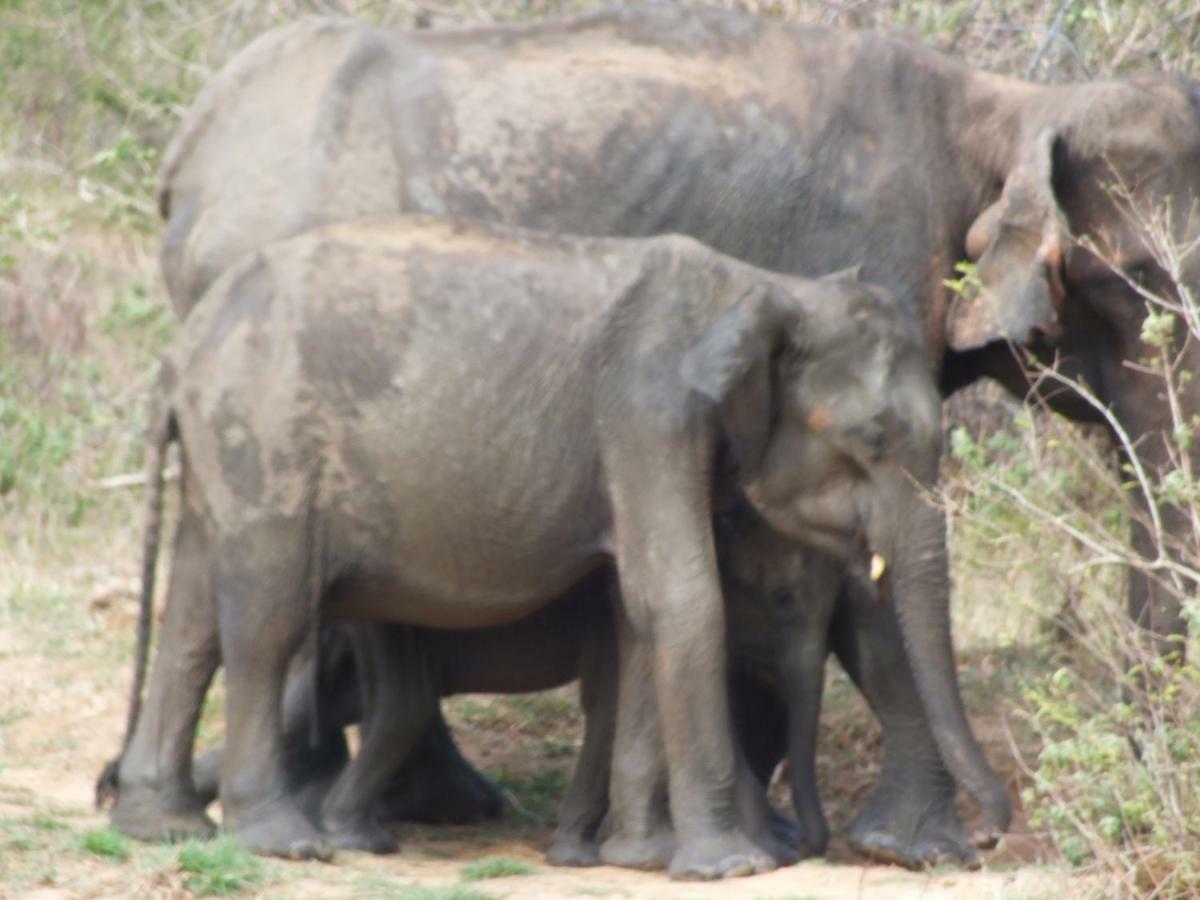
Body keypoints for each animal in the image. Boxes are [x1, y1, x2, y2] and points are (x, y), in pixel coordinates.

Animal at [105, 218, 1003, 883]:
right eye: (874, 440)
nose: (994, 839)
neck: (770, 287)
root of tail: (179, 355)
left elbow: (636, 613)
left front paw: (640, 857)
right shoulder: (647, 412)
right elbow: (680, 597)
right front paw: (729, 867)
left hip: (227, 453)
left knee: (192, 617)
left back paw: (159, 825)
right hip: (265, 440)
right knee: (267, 619)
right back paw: (281, 841)